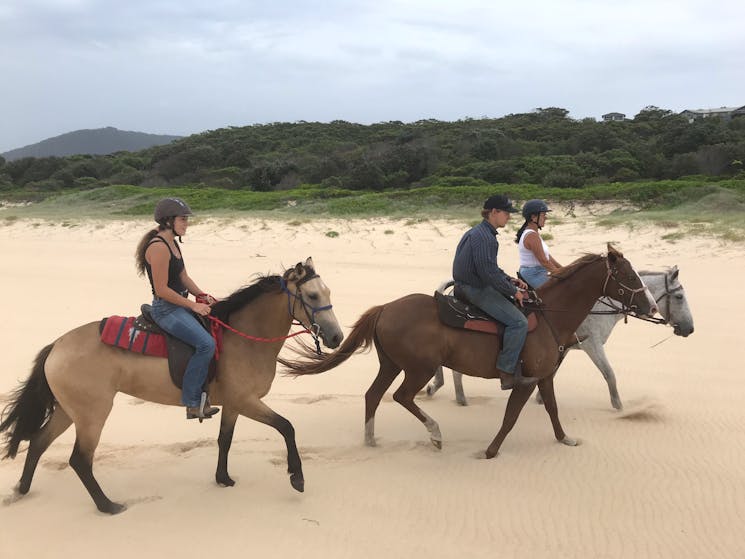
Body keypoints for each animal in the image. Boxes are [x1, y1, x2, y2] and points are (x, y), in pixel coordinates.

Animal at [0, 258, 342, 516]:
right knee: (79, 460)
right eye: (312, 296)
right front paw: (297, 477)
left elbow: (225, 440)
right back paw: (107, 505)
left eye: (327, 291)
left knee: (39, 443)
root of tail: (57, 346)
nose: (336, 337)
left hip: (68, 411)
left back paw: (23, 488)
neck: (242, 337)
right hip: (92, 415)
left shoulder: (234, 404)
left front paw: (223, 478)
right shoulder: (247, 401)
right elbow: (287, 427)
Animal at [282, 247, 652, 458]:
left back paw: (371, 441)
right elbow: (511, 417)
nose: (650, 305)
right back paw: (434, 433)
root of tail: (386, 307)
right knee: (402, 397)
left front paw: (564, 439)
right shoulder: (525, 380)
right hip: (419, 369)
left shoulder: (544, 376)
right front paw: (490, 451)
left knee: (373, 395)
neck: (549, 315)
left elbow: (552, 408)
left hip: (391, 365)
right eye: (629, 275)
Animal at [428, 266, 696, 412]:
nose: (690, 329)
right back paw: (455, 396)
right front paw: (619, 408)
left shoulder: (564, 347)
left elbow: (553, 372)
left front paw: (539, 397)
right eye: (679, 296)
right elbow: (609, 374)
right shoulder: (591, 345)